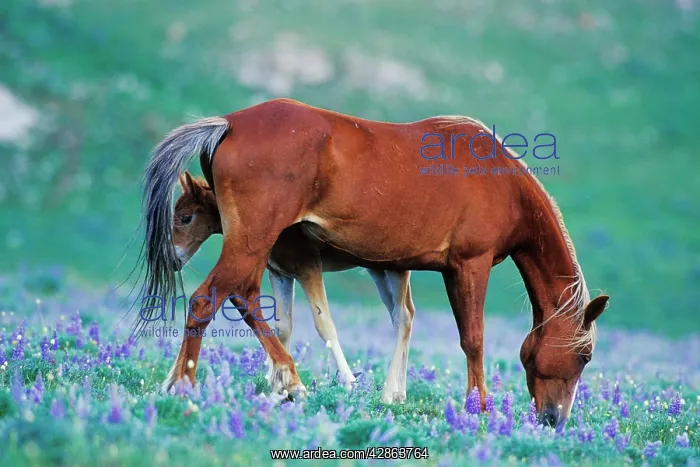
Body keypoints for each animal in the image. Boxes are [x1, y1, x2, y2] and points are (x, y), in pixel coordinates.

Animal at [169, 170, 415, 403]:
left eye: (185, 218)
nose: (173, 259)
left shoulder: (307, 268)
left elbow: (324, 324)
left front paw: (348, 381)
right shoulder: (280, 274)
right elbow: (283, 327)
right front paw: (281, 385)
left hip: (395, 271)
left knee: (403, 316)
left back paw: (390, 394)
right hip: (378, 271)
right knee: (404, 314)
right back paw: (399, 392)